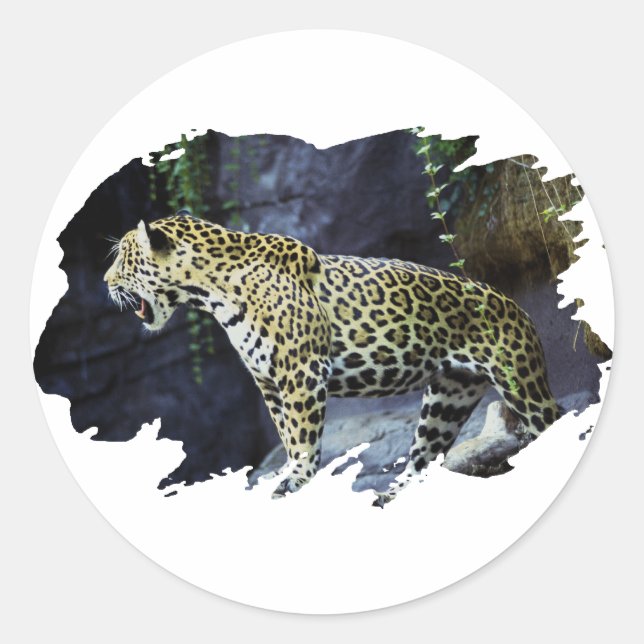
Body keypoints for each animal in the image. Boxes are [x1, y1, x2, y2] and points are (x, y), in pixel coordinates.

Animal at [104, 213, 561, 506]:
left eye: (123, 256)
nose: (105, 282)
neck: (210, 289)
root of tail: (515, 305)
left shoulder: (301, 372)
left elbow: (304, 440)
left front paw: (297, 481)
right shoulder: (269, 382)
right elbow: (287, 436)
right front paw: (285, 477)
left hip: (520, 381)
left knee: (551, 422)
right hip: (446, 400)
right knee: (423, 460)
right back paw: (389, 498)